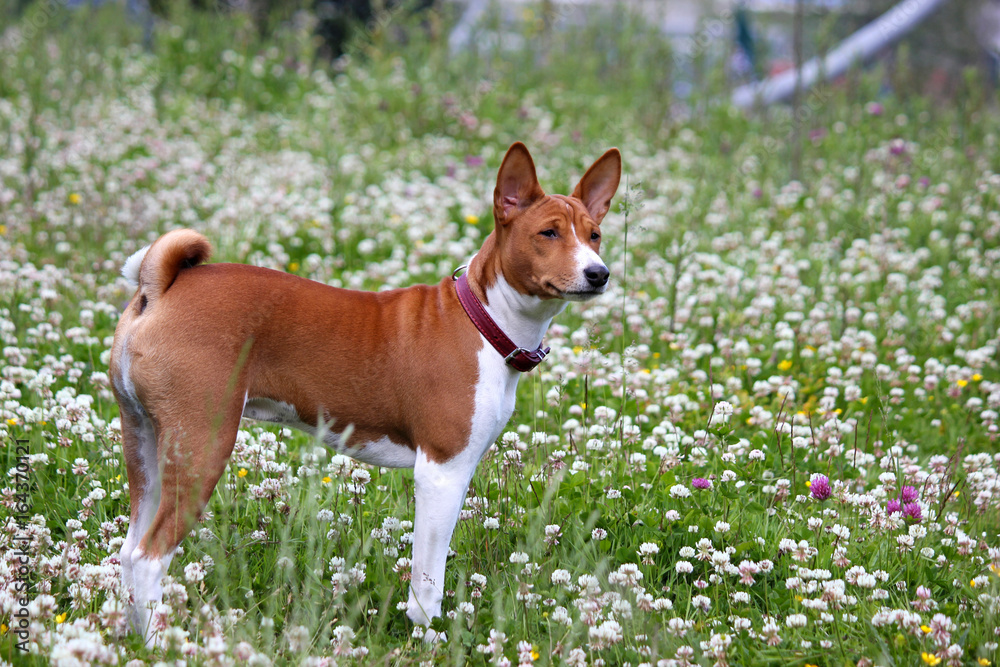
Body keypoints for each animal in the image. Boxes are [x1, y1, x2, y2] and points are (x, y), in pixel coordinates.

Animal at [109, 142, 616, 648]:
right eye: (548, 233)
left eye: (595, 236)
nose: (599, 273)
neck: (484, 321)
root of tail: (160, 288)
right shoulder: (441, 471)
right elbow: (427, 578)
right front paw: (427, 639)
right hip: (203, 446)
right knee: (149, 557)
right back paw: (161, 643)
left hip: (146, 445)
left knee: (129, 551)